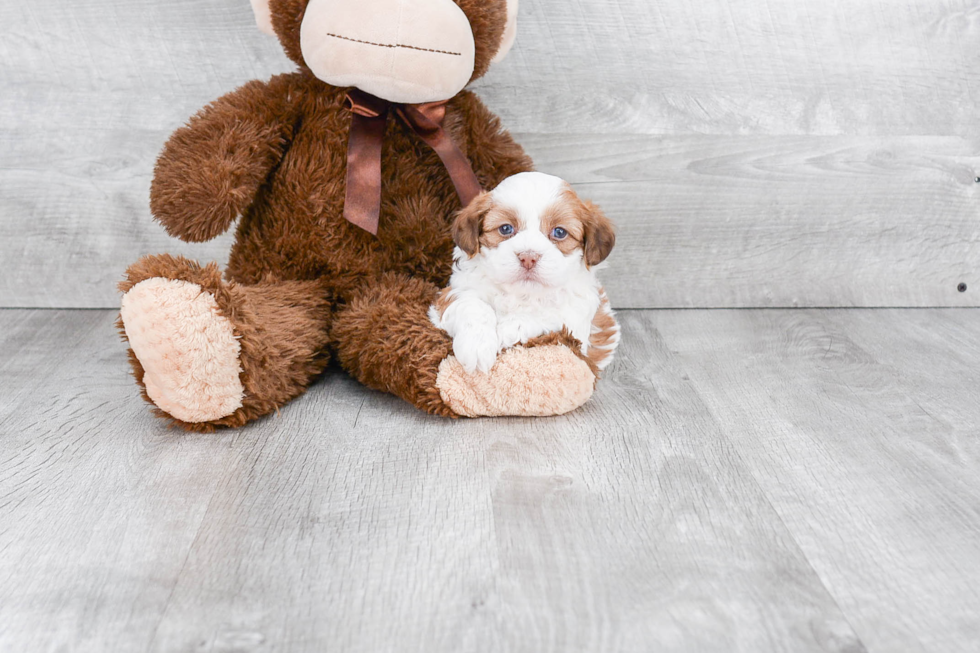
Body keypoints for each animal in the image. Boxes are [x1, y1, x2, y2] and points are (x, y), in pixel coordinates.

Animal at [430, 171, 620, 374]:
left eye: (559, 232)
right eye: (506, 228)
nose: (528, 257)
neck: (521, 293)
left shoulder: (576, 321)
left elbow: (551, 315)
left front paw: (509, 328)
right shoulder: (456, 290)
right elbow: (473, 305)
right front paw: (476, 345)